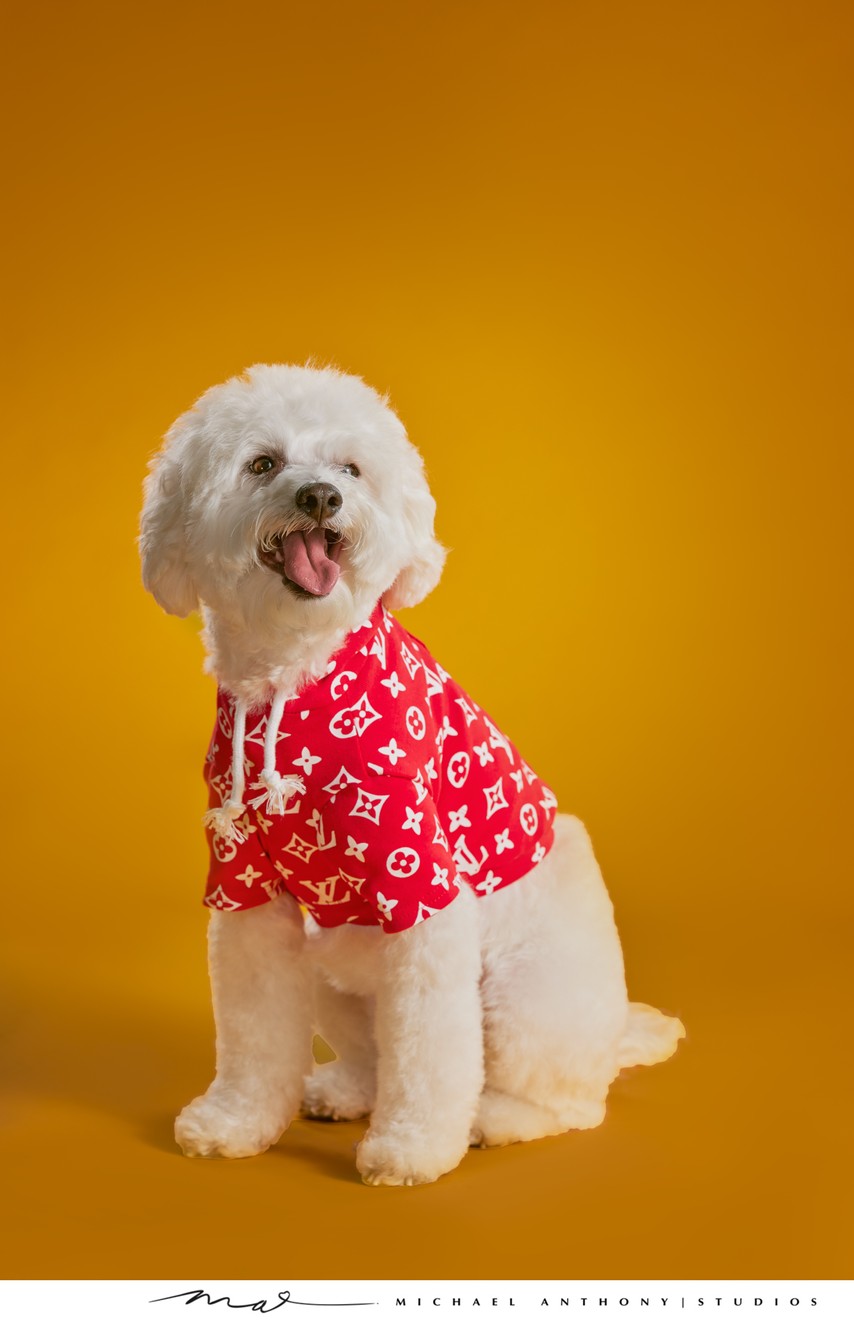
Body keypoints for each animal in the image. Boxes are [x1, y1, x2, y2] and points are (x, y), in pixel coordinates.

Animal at [140, 364, 687, 1189]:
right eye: (262, 463)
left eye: (349, 469)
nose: (319, 498)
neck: (296, 678)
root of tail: (614, 1034)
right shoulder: (249, 893)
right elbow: (253, 1032)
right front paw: (236, 1121)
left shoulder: (421, 888)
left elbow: (429, 1052)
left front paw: (413, 1149)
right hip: (328, 959)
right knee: (372, 1055)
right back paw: (342, 1089)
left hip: (526, 1001)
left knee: (567, 1103)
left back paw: (493, 1119)